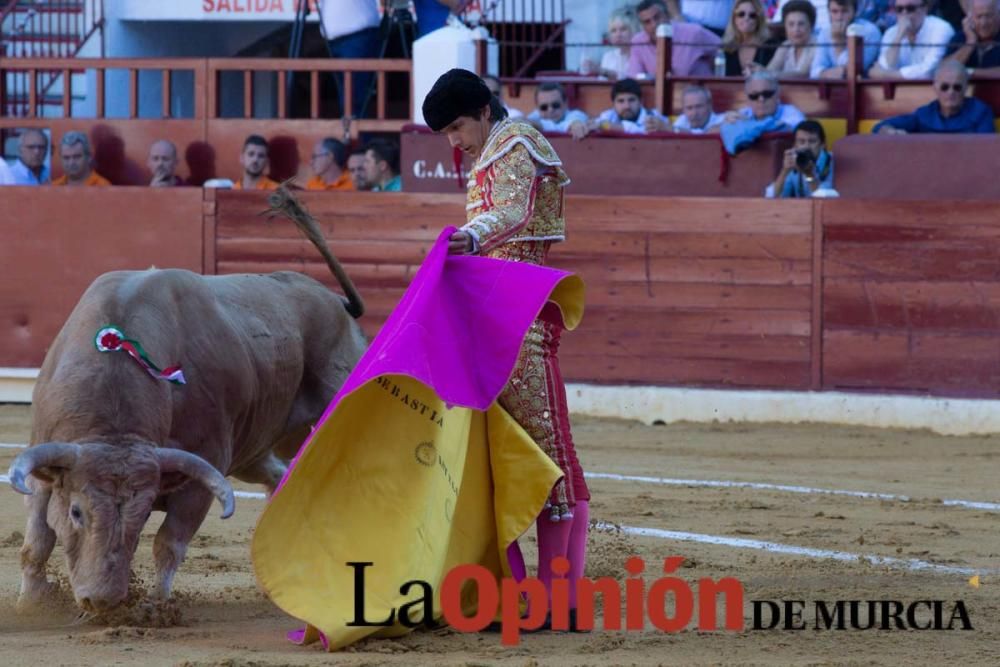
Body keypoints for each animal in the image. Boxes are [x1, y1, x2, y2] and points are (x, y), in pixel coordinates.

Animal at [7, 189, 368, 616]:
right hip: (252, 450)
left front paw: (155, 608)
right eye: (77, 511)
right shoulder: (45, 464)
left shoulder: (203, 470)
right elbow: (38, 540)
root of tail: (335, 303)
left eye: (142, 514)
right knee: (280, 476)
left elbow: (169, 542)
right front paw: (31, 603)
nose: (103, 599)